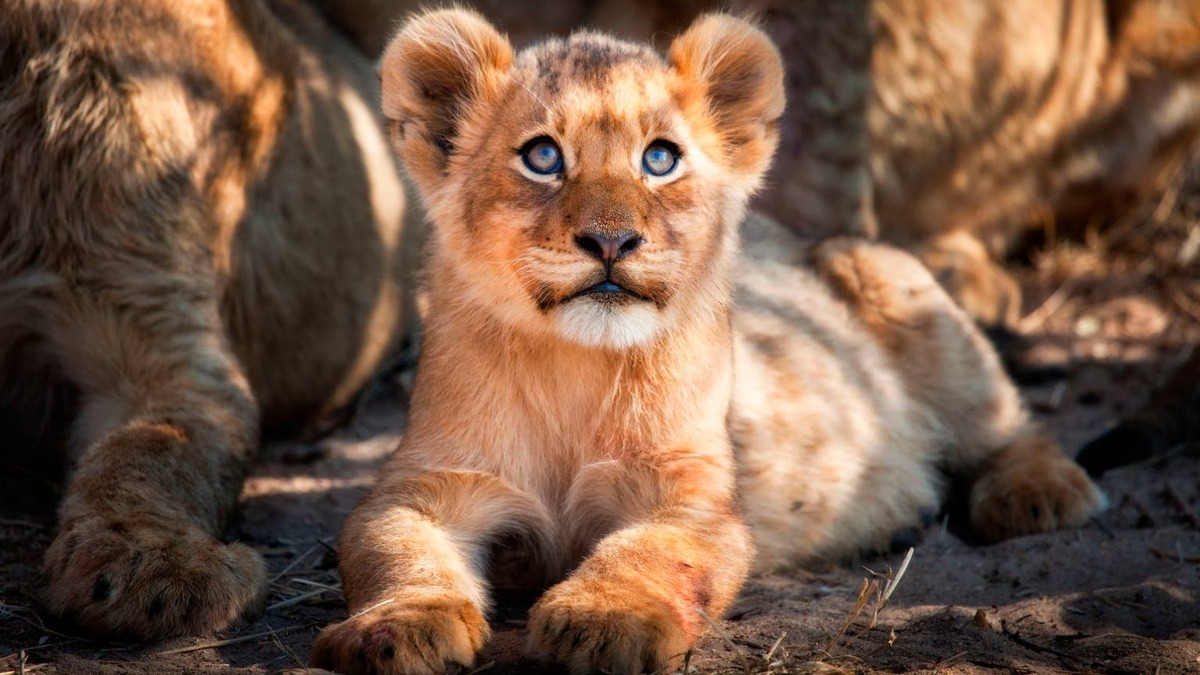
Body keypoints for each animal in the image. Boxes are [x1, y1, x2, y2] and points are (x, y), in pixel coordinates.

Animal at [310, 10, 1105, 675]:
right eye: (542, 156)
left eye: (660, 159)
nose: (611, 240)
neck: (574, 367)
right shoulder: (427, 482)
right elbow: (391, 550)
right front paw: (398, 628)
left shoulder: (693, 493)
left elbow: (650, 551)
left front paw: (605, 621)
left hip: (896, 284)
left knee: (1008, 422)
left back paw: (1037, 494)